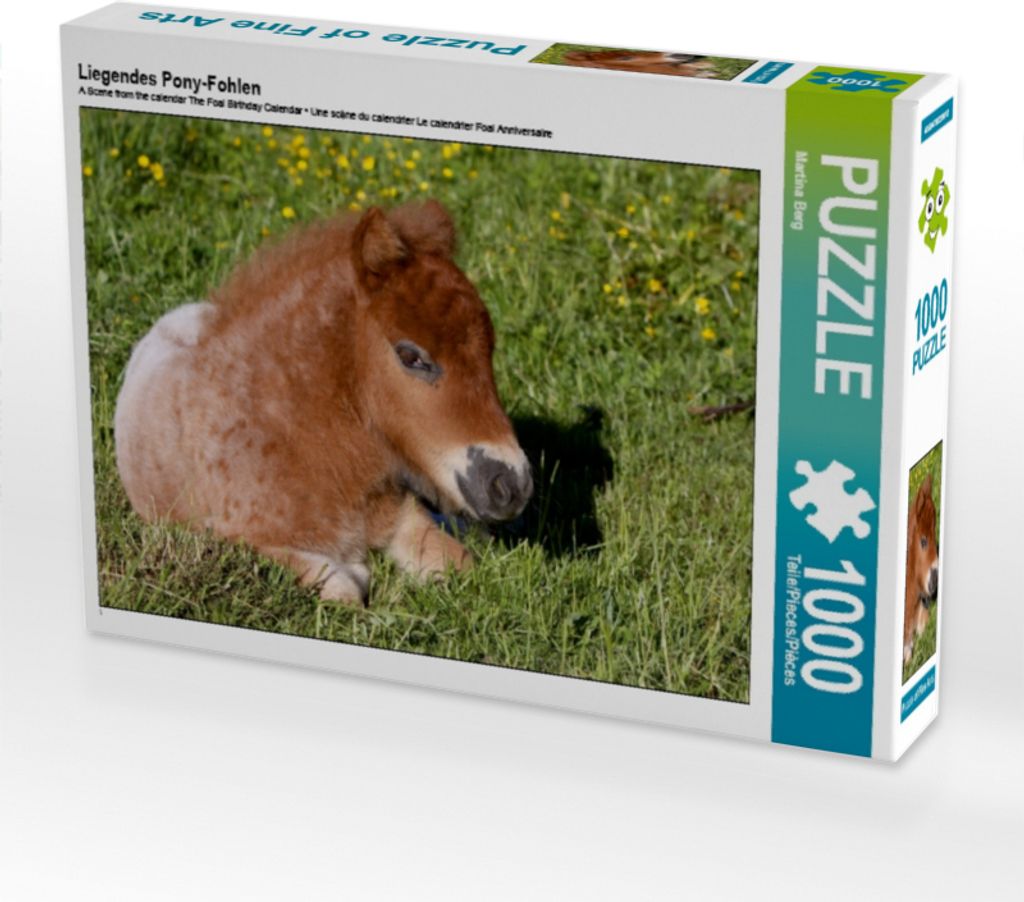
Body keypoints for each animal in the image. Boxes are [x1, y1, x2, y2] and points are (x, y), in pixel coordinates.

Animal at [114, 200, 533, 604]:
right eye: (411, 356)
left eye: (489, 351)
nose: (512, 486)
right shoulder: (239, 539)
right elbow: (344, 589)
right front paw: (362, 575)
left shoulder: (397, 512)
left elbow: (459, 563)